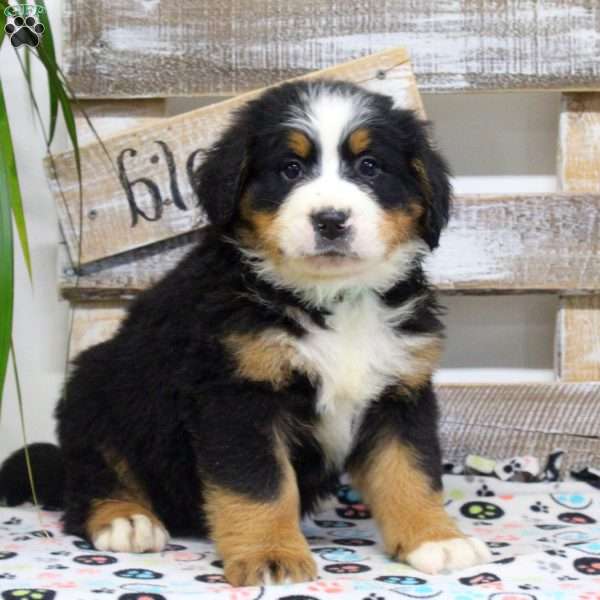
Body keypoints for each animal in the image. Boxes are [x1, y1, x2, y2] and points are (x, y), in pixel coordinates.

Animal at [0, 79, 490, 584]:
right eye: (290, 169)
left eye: (369, 166)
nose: (331, 220)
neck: (331, 299)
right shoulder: (237, 395)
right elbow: (261, 484)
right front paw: (270, 554)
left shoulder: (399, 390)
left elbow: (409, 471)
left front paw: (436, 539)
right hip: (96, 391)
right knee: (90, 479)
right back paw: (126, 519)